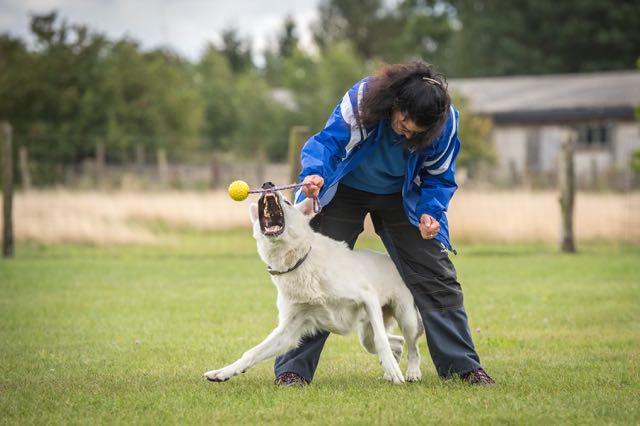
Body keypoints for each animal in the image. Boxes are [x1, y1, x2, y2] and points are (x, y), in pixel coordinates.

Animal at [205, 188, 424, 384]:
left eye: (287, 202)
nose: (268, 185)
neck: (300, 261)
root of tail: (393, 260)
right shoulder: (287, 332)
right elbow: (251, 353)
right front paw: (222, 372)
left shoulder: (367, 297)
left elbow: (382, 341)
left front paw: (395, 371)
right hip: (366, 335)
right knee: (397, 343)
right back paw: (390, 370)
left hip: (406, 318)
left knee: (410, 346)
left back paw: (411, 372)